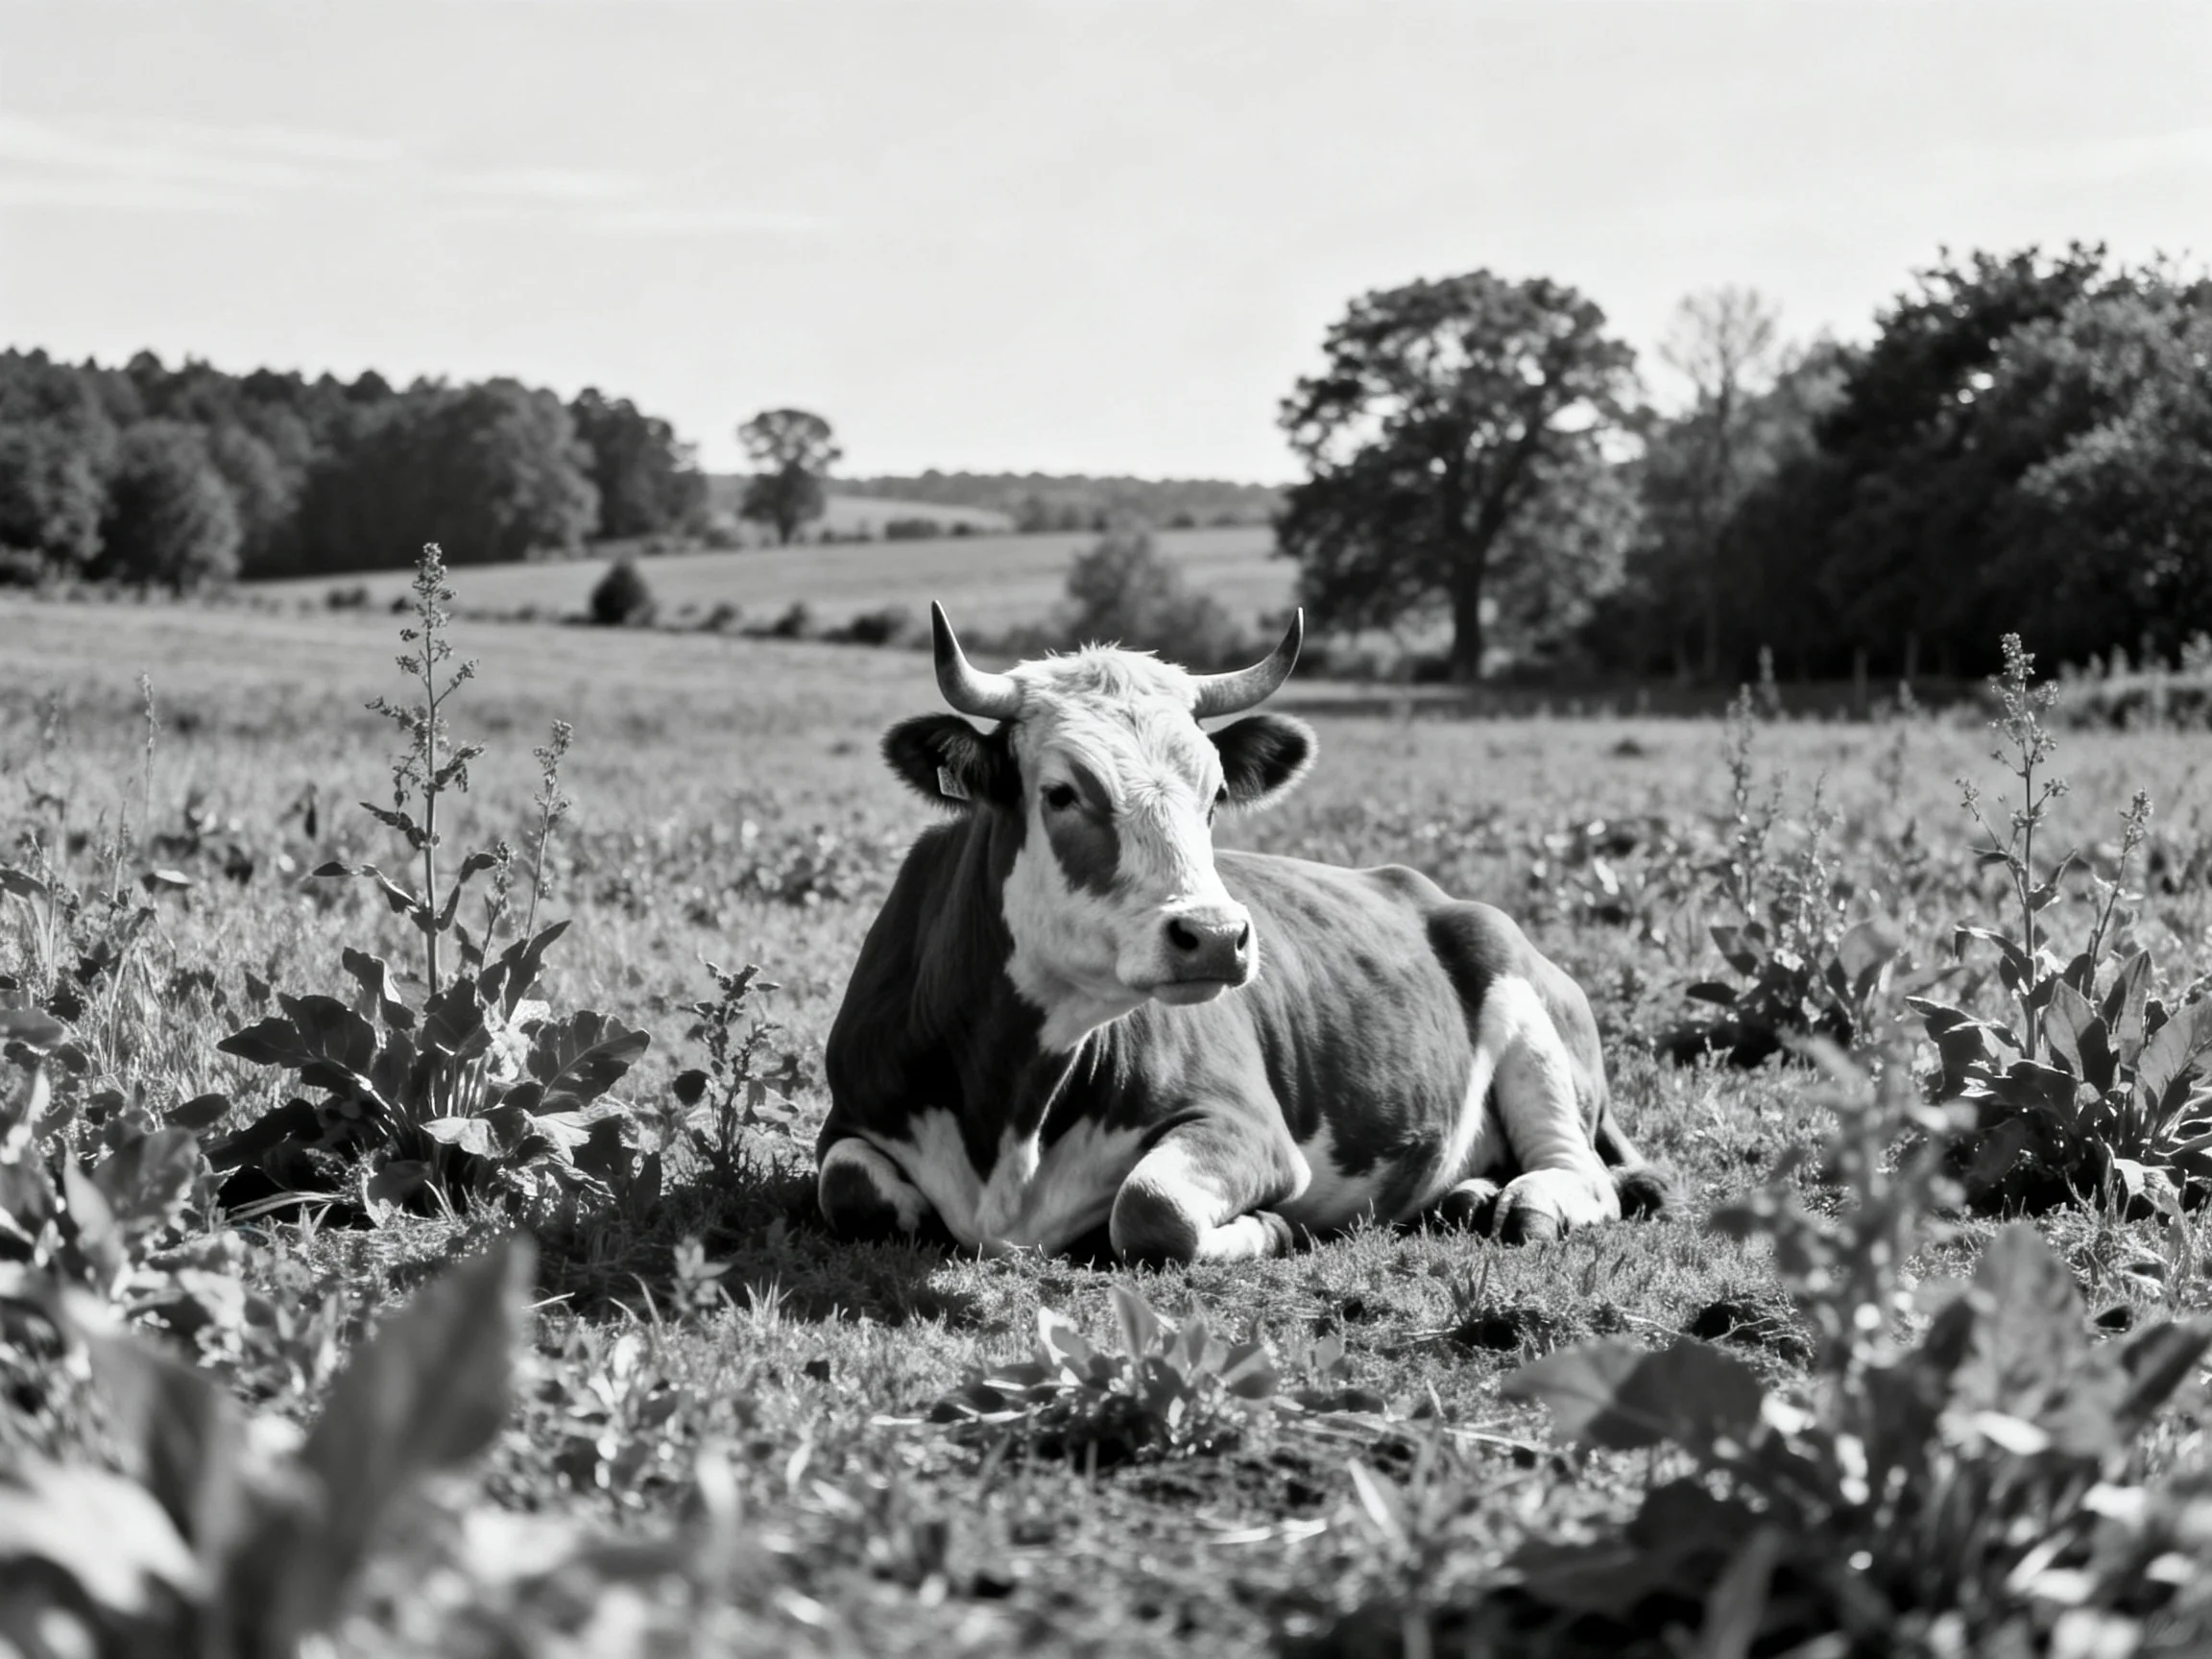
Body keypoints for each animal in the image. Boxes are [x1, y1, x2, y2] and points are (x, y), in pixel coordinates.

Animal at [815, 604, 1668, 1264]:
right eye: (1060, 792)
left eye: (1215, 792)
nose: (1217, 935)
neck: (1009, 1106)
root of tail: (1436, 896)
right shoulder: (849, 1118)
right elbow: (847, 1186)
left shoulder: (1252, 1129)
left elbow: (1150, 1207)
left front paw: (1269, 1229)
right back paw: (1468, 1195)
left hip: (1530, 1018)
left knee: (1584, 1172)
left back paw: (1528, 1201)